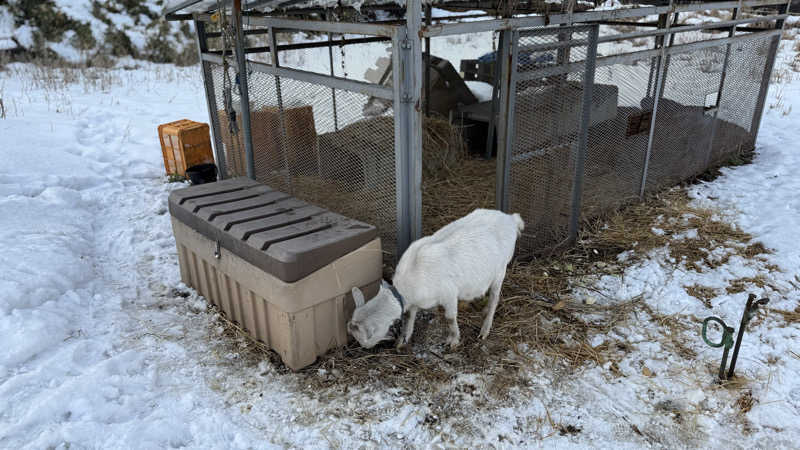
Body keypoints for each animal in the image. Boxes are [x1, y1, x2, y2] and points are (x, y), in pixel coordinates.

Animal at [346, 209, 520, 350]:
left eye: (362, 340)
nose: (363, 348)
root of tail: (511, 219)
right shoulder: (414, 301)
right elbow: (409, 316)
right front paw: (403, 340)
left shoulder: (449, 294)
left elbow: (450, 318)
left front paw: (453, 340)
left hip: (500, 270)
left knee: (495, 298)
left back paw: (485, 329)